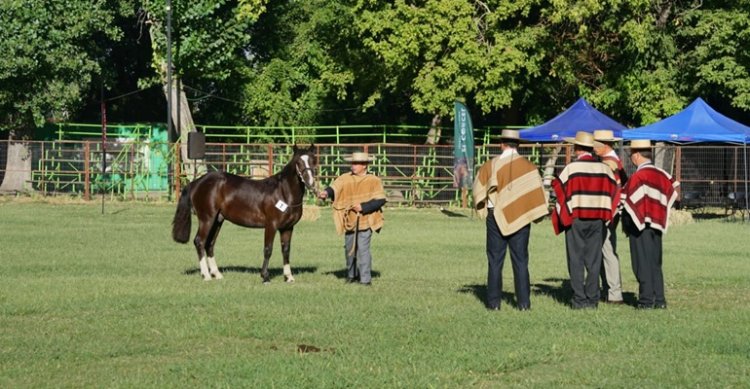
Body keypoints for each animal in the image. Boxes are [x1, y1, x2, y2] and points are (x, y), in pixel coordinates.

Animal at [172, 142, 318, 282]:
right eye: (298, 162)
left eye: (313, 160)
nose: (310, 182)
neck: (283, 193)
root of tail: (197, 182)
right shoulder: (271, 225)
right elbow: (268, 249)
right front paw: (265, 276)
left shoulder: (288, 228)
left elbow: (286, 250)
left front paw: (288, 277)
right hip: (207, 219)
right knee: (200, 241)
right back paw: (206, 275)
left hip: (217, 220)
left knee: (210, 244)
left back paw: (216, 274)